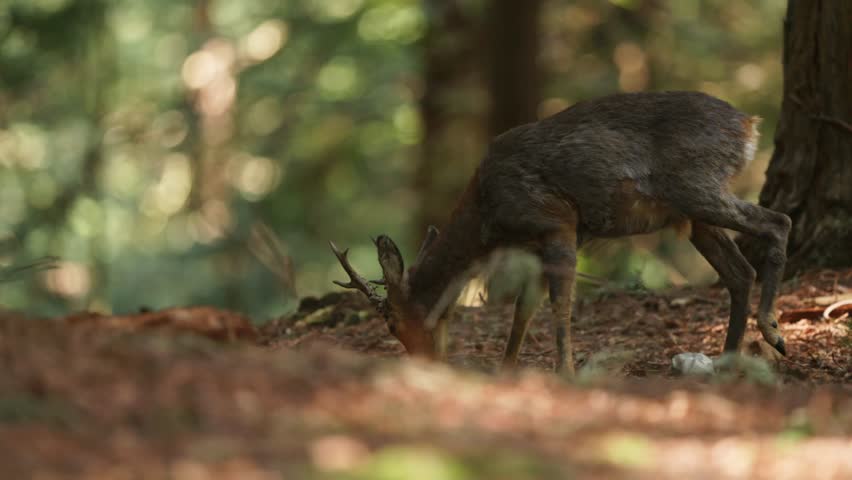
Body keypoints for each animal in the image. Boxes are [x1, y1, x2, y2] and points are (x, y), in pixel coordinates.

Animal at [330, 91, 791, 376]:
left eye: (393, 324)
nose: (423, 360)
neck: (489, 217)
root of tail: (749, 125)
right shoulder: (539, 245)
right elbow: (523, 309)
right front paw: (506, 369)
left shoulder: (557, 223)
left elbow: (559, 306)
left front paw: (565, 371)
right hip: (692, 215)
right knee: (739, 272)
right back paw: (727, 360)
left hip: (696, 187)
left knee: (778, 222)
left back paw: (773, 332)